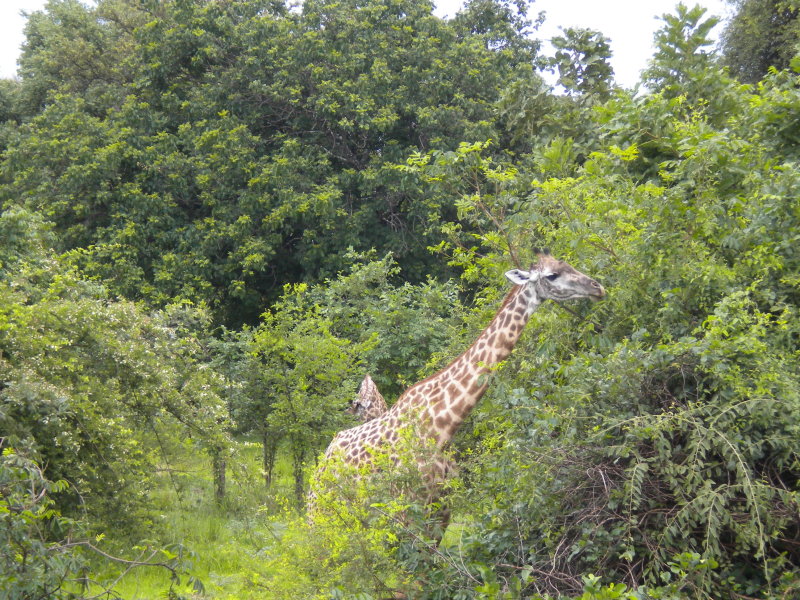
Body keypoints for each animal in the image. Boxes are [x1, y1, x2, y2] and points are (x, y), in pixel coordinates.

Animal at [316, 251, 604, 516]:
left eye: (568, 264)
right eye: (552, 275)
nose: (597, 287)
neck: (443, 426)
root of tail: (321, 461)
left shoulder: (442, 511)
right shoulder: (408, 510)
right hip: (321, 515)